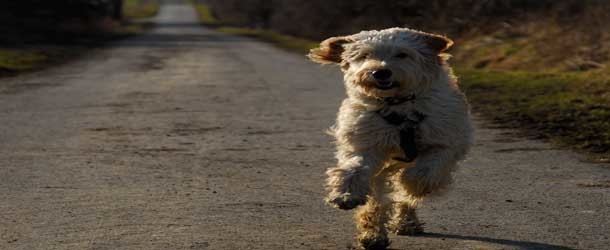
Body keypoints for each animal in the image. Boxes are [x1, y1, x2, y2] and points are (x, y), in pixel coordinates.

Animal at [306, 27, 472, 250]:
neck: (398, 108)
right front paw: (346, 194)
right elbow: (355, 169)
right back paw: (373, 235)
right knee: (377, 200)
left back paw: (406, 221)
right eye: (365, 55)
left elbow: (424, 170)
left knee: (404, 196)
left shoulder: (446, 142)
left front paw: (411, 184)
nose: (380, 72)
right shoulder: (367, 143)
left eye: (402, 54)